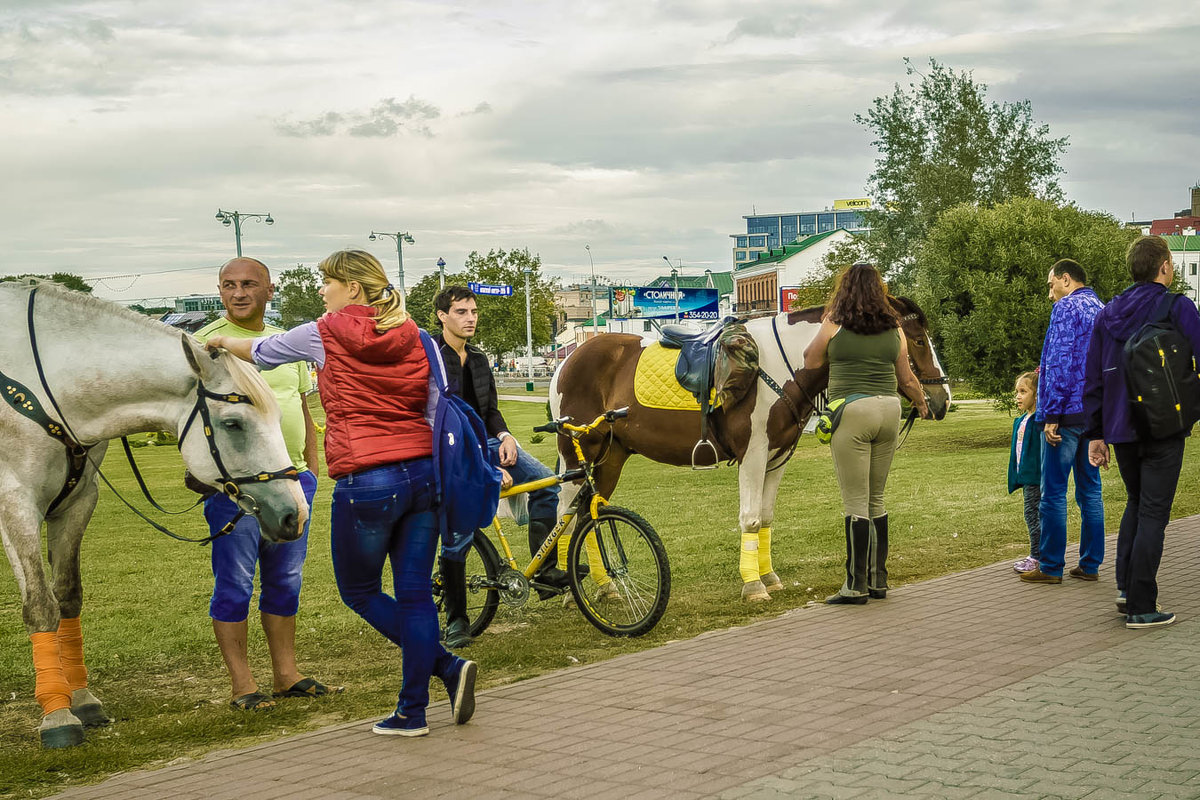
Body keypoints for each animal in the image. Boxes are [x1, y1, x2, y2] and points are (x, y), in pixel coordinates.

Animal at [0, 280, 307, 743]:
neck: (45, 383)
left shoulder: (76, 502)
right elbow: (40, 605)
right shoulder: (15, 502)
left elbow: (67, 597)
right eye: (233, 424)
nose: (295, 514)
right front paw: (58, 715)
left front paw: (82, 701)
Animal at [549, 298, 950, 599]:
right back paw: (569, 587)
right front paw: (753, 585)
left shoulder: (777, 458)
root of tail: (566, 362)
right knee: (564, 513)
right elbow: (751, 517)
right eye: (916, 340)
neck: (781, 366)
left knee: (588, 515)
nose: (942, 398)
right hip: (577, 456)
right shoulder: (753, 456)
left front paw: (768, 576)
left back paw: (604, 587)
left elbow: (766, 517)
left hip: (610, 458)